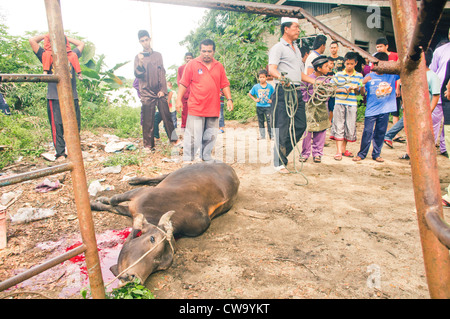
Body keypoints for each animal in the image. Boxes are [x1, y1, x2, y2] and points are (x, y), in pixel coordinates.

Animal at [89, 162, 239, 284]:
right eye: (152, 239)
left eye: (159, 264)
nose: (134, 278)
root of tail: (230, 168)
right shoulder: (140, 193)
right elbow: (113, 200)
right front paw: (96, 202)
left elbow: (114, 207)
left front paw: (98, 202)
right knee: (161, 176)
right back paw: (135, 179)